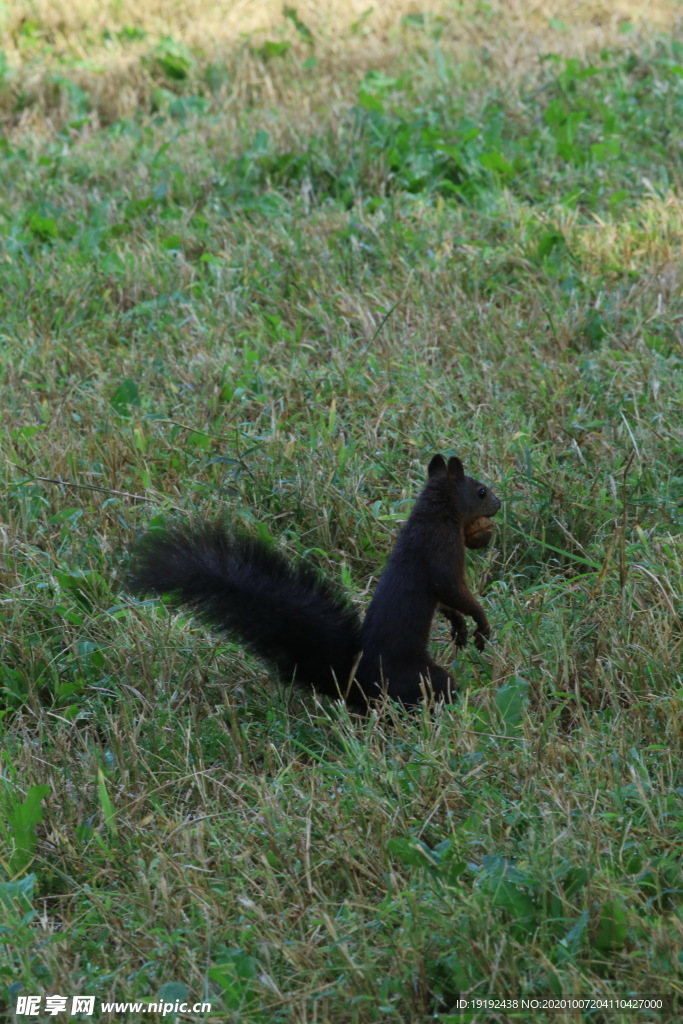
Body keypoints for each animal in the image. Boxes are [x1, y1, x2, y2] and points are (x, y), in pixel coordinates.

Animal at [129, 456, 501, 712]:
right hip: (418, 678)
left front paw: (458, 627)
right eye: (480, 492)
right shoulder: (442, 552)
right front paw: (480, 623)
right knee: (437, 689)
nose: (499, 503)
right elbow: (453, 589)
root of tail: (356, 683)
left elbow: (446, 602)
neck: (434, 513)